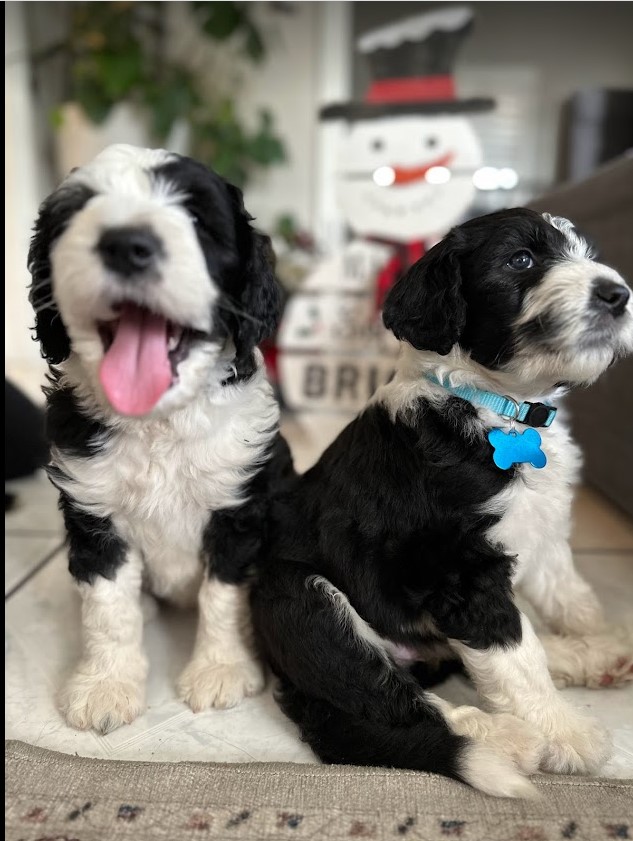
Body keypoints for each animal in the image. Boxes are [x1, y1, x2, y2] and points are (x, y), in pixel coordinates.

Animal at [29, 143, 292, 728]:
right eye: (78, 213)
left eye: (196, 218)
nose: (126, 245)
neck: (158, 421)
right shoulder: (94, 512)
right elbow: (108, 607)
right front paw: (105, 685)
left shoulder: (238, 508)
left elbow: (223, 596)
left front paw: (221, 670)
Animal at [252, 207, 632, 796]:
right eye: (521, 260)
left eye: (586, 255)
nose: (617, 295)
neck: (499, 407)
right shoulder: (462, 572)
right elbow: (514, 655)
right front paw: (565, 734)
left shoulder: (541, 534)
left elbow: (567, 600)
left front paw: (592, 638)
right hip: (303, 602)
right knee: (389, 697)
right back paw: (505, 739)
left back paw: (586, 657)